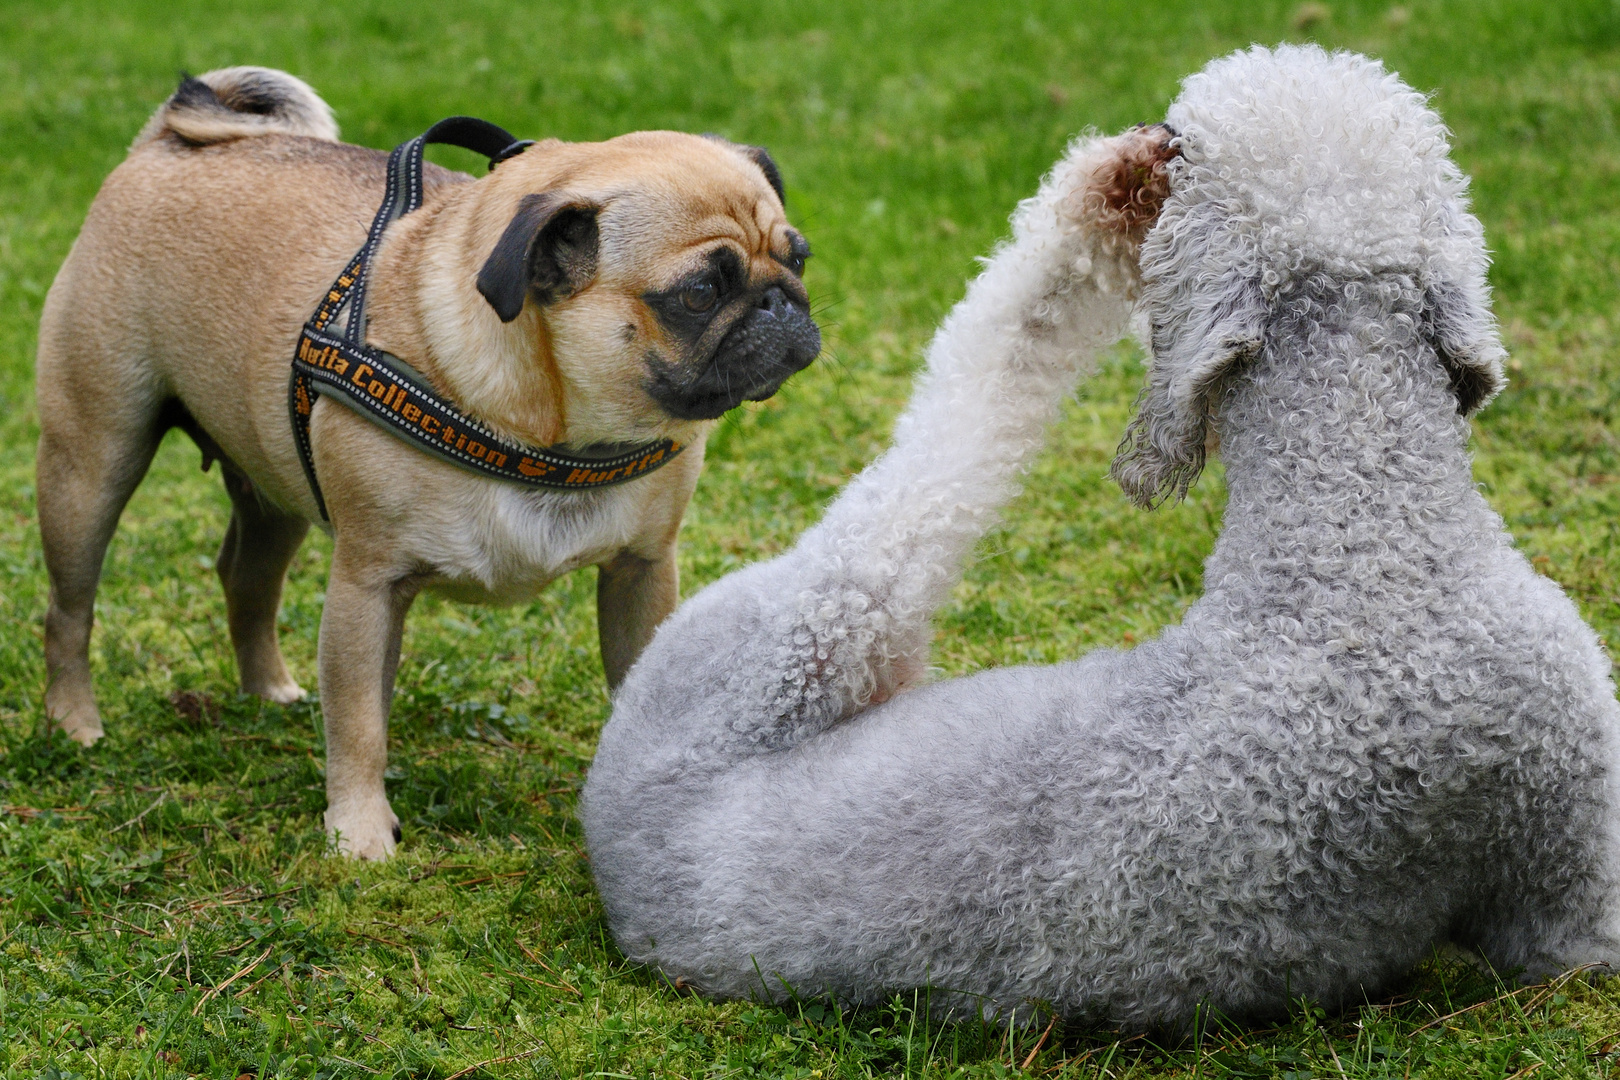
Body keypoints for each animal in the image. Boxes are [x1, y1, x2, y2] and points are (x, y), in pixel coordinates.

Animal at [34, 69, 822, 861]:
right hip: (91, 461)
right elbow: (358, 723)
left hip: (272, 489)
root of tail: (169, 136)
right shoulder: (367, 584)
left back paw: (269, 695)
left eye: (798, 257)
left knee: (247, 581)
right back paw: (76, 724)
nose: (781, 302)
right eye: (699, 293)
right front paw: (358, 833)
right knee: (71, 608)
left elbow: (637, 685)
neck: (561, 435)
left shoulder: (642, 570)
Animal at [579, 48, 1620, 1029]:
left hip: (782, 634)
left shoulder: (1576, 892)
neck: (1367, 542)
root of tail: (617, 834)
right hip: (784, 642)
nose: (1163, 137)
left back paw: (1102, 200)